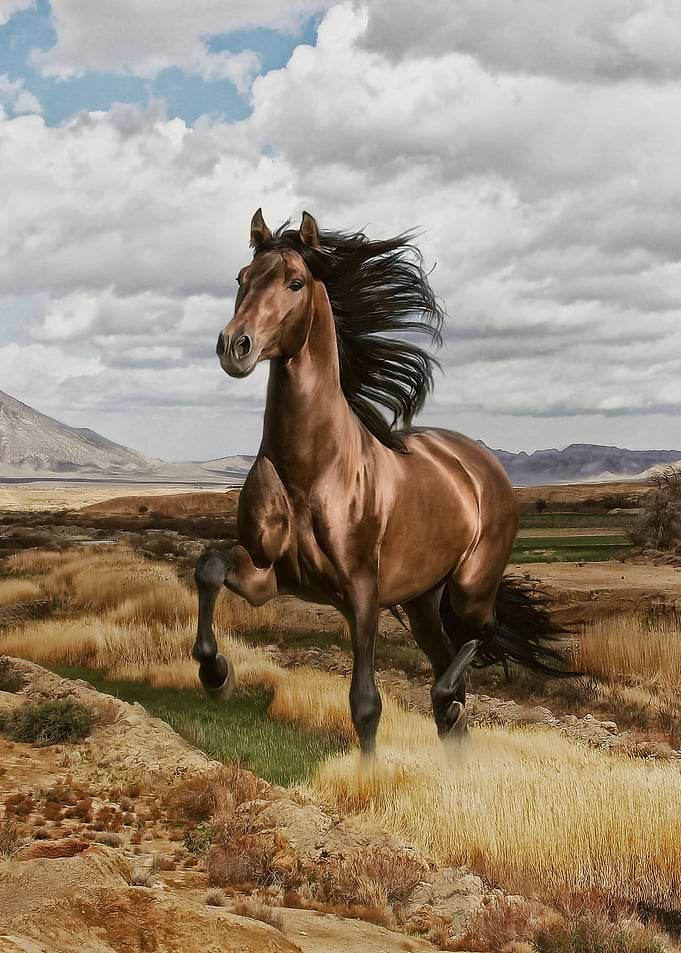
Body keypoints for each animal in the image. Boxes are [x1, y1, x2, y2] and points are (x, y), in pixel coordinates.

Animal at [192, 209, 566, 754]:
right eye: (241, 279)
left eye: (295, 282)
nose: (234, 347)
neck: (312, 470)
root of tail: (481, 461)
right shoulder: (269, 572)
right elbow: (209, 568)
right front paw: (216, 674)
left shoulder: (363, 593)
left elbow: (366, 705)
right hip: (422, 599)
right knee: (449, 664)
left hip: (469, 586)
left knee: (481, 634)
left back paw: (446, 698)